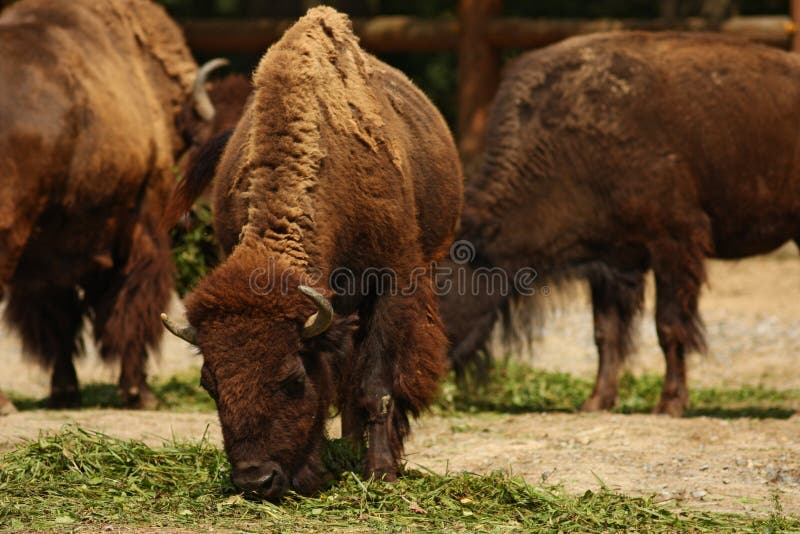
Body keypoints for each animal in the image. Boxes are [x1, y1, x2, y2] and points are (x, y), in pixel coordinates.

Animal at [0, 0, 231, 414]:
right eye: (202, 144)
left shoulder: (48, 252)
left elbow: (59, 321)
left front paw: (65, 391)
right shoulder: (141, 233)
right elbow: (131, 308)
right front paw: (141, 392)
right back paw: (5, 403)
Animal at [161, 5, 462, 502]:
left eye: (291, 379)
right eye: (210, 383)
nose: (255, 479)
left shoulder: (389, 283)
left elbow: (375, 385)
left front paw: (381, 474)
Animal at [444, 32, 800, 418]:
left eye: (441, 279)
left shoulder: (673, 244)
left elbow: (668, 326)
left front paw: (669, 404)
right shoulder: (610, 260)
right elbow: (606, 334)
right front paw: (595, 401)